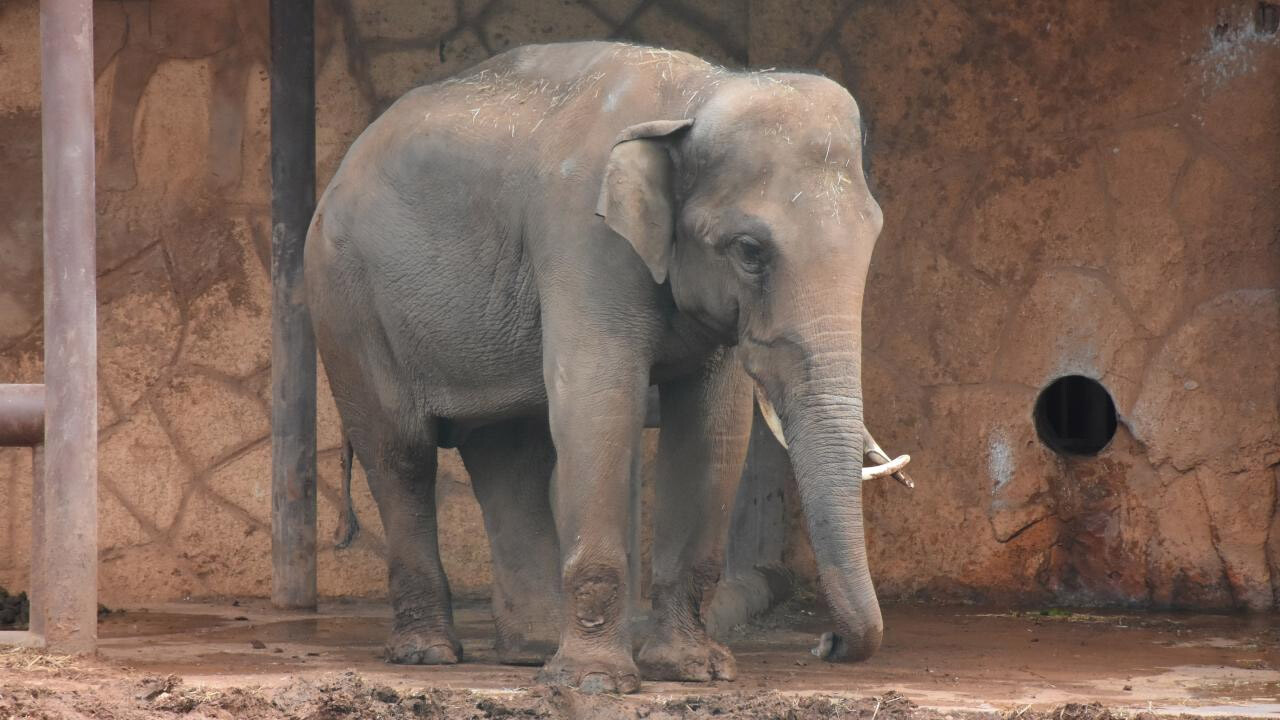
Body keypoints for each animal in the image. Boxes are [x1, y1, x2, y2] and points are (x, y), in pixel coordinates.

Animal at [307, 40, 911, 691]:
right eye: (750, 251)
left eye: (874, 237)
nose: (824, 643)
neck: (694, 95)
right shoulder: (581, 237)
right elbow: (600, 402)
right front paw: (596, 683)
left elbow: (713, 428)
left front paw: (694, 670)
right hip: (346, 303)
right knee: (401, 455)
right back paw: (431, 654)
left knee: (510, 455)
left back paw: (531, 652)